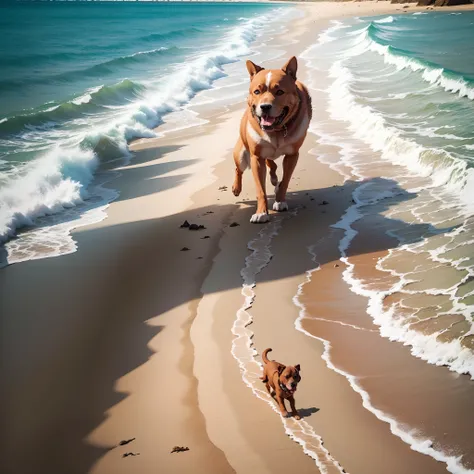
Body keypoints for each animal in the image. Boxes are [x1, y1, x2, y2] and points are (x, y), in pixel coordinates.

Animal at [232, 56, 312, 223]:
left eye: (280, 91)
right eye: (257, 91)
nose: (265, 107)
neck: (276, 131)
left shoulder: (292, 155)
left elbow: (286, 181)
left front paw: (280, 201)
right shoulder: (256, 158)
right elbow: (260, 189)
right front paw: (261, 213)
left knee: (273, 165)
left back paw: (275, 181)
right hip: (241, 154)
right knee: (239, 168)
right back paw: (236, 187)